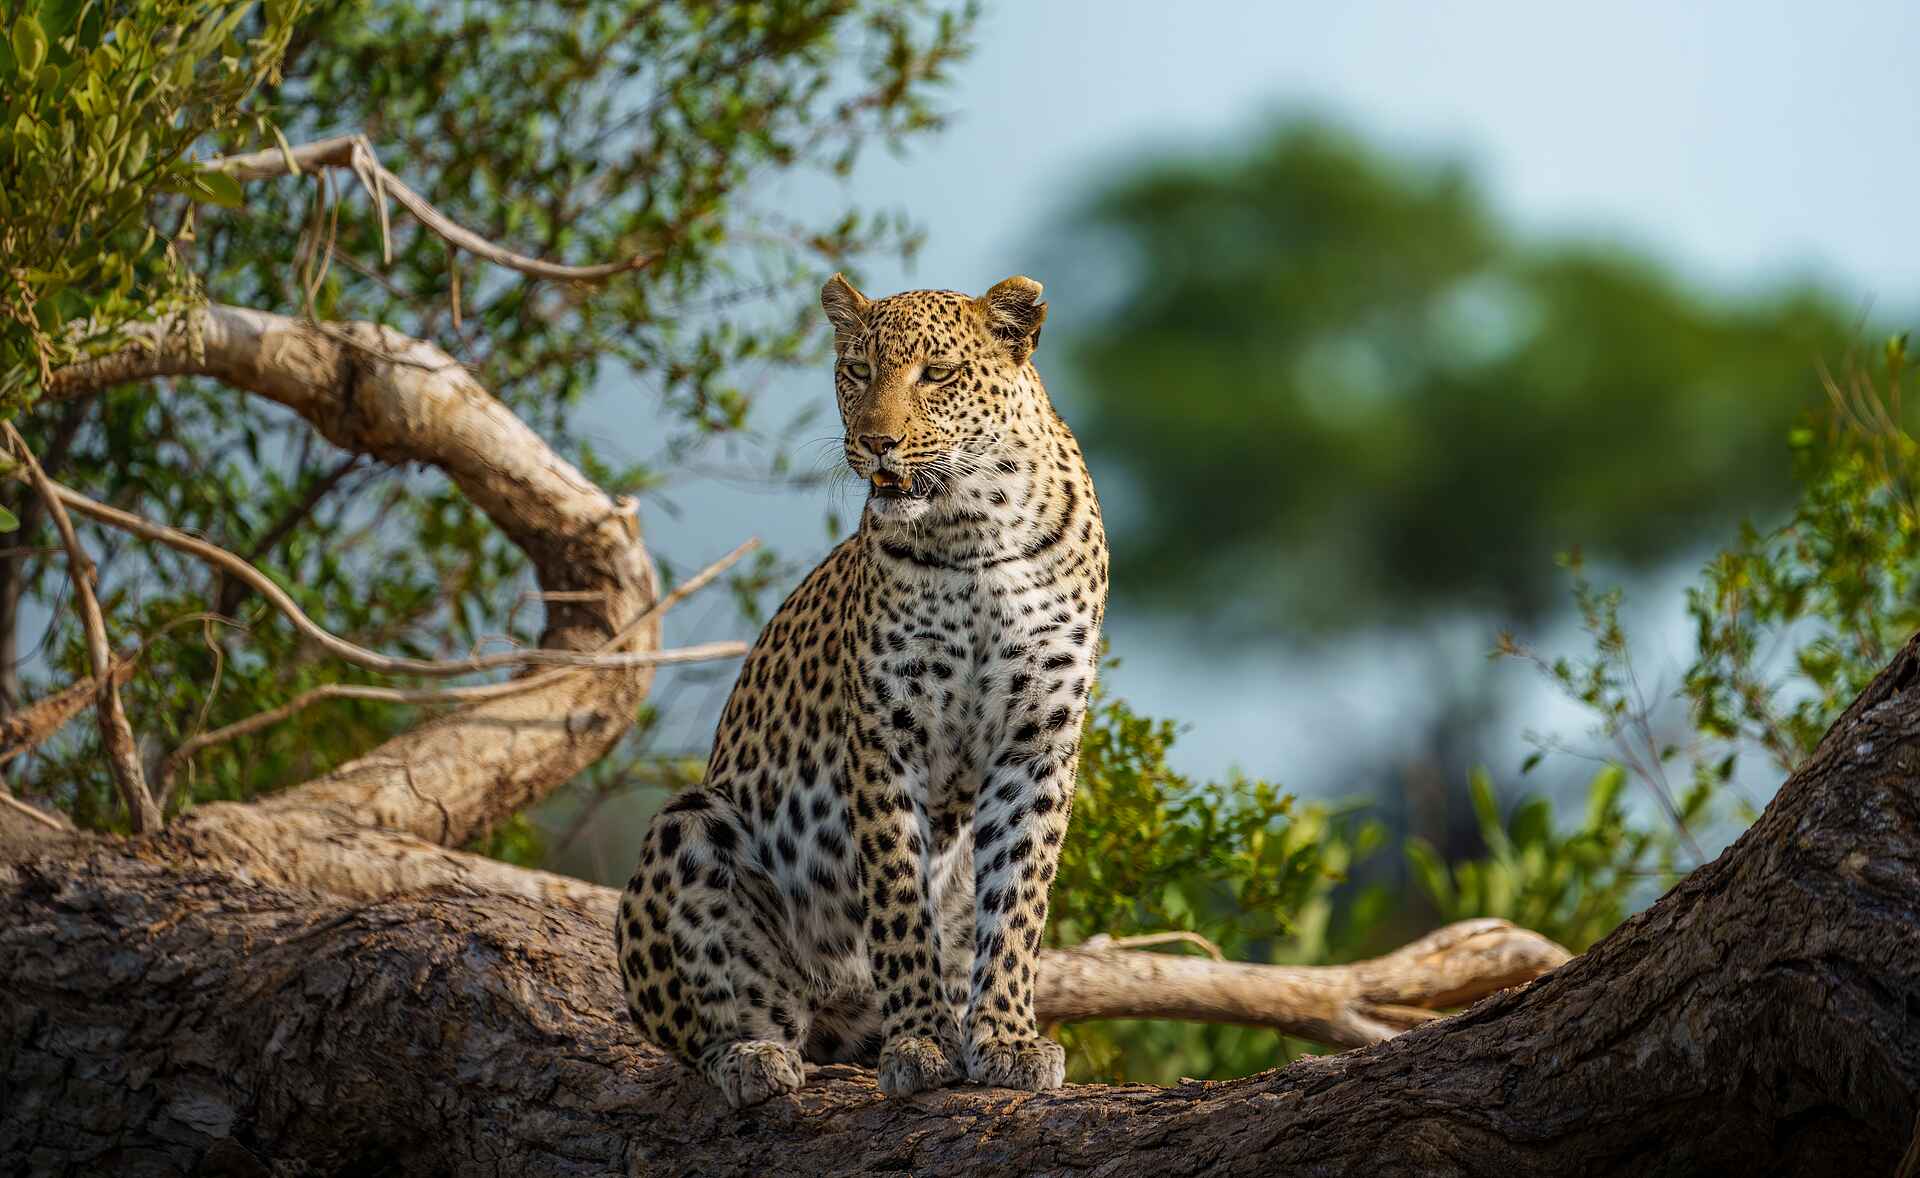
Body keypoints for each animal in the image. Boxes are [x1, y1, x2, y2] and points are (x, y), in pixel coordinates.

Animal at [615, 273, 1108, 1108]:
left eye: (936, 374)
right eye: (857, 372)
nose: (877, 442)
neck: (977, 530)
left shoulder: (1037, 739)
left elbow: (1018, 904)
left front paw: (1006, 1040)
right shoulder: (886, 731)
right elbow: (898, 897)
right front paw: (922, 1041)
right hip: (691, 825)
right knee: (713, 1026)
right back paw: (754, 1057)